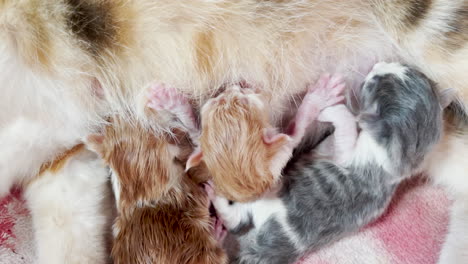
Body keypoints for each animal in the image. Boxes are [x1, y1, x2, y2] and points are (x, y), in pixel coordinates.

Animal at [211, 62, 450, 264]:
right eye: (401, 68)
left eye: (373, 82)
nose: (377, 64)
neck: (398, 164)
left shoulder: (350, 155)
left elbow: (348, 122)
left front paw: (332, 109)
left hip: (262, 202)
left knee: (236, 220)